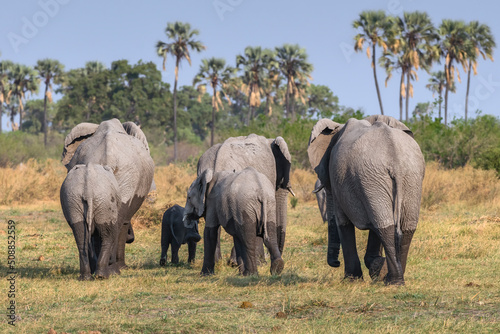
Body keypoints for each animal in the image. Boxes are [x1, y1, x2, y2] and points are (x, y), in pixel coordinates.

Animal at [61, 120, 154, 272]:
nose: (131, 238)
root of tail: (107, 157)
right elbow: (123, 222)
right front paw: (122, 267)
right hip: (129, 177)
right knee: (118, 222)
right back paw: (113, 269)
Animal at [310, 115, 424, 284]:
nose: (336, 263)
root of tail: (396, 161)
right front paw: (376, 267)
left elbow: (343, 222)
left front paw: (352, 279)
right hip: (407, 177)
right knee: (401, 226)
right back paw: (395, 279)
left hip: (374, 177)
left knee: (385, 225)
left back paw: (392, 281)